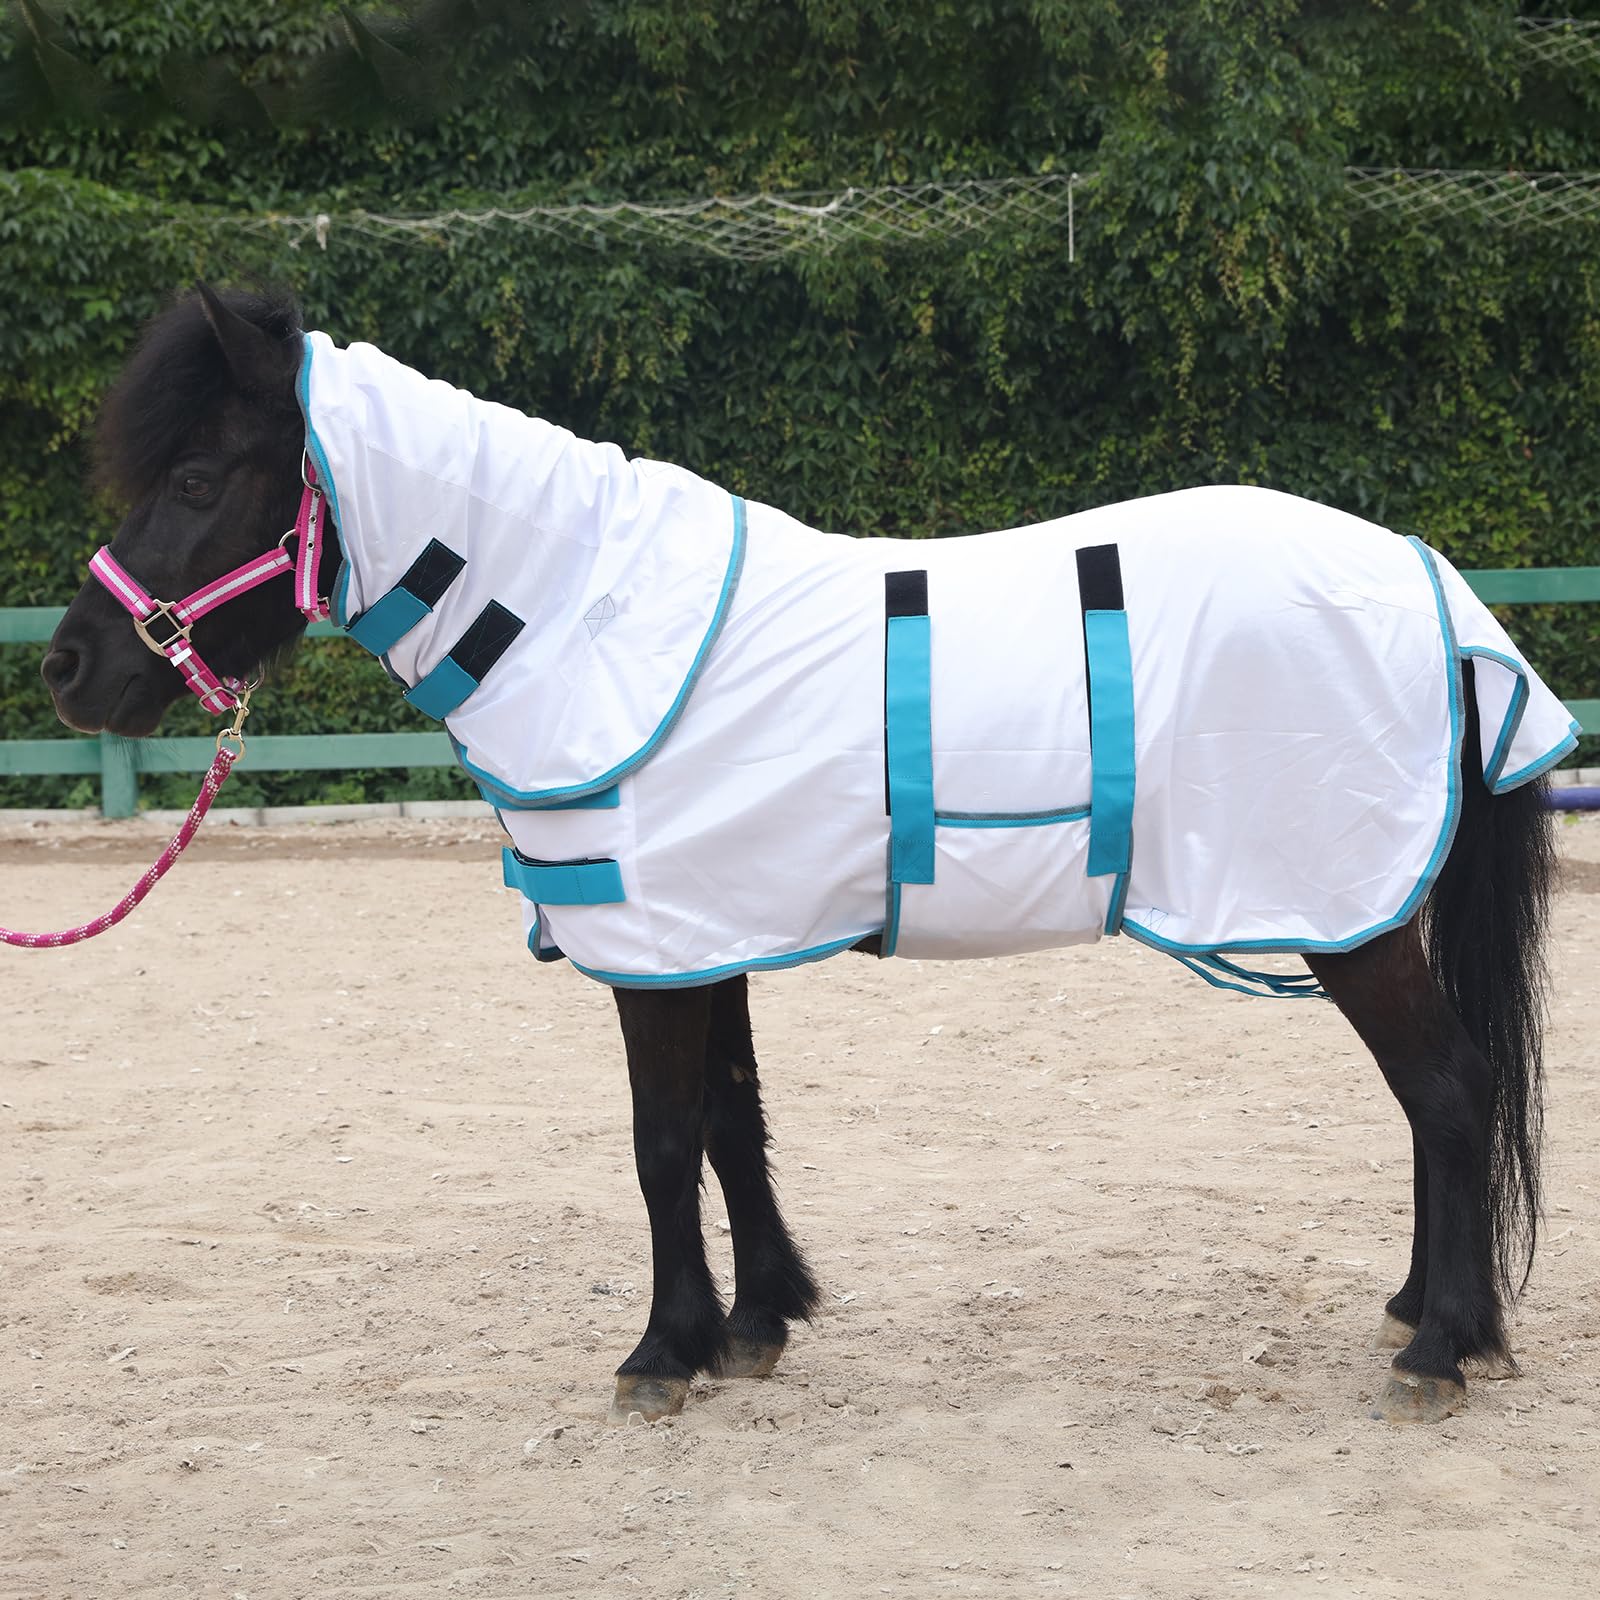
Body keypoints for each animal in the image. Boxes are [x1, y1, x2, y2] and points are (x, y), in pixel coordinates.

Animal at [39, 285, 1566, 1427]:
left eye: (195, 474)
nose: (68, 668)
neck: (588, 618)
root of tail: (1427, 578)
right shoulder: (706, 933)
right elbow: (731, 1122)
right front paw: (758, 1319)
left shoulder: (653, 950)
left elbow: (661, 1142)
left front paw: (664, 1350)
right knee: (1433, 1101)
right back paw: (1419, 1310)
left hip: (1351, 915)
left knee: (1446, 1089)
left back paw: (1443, 1345)